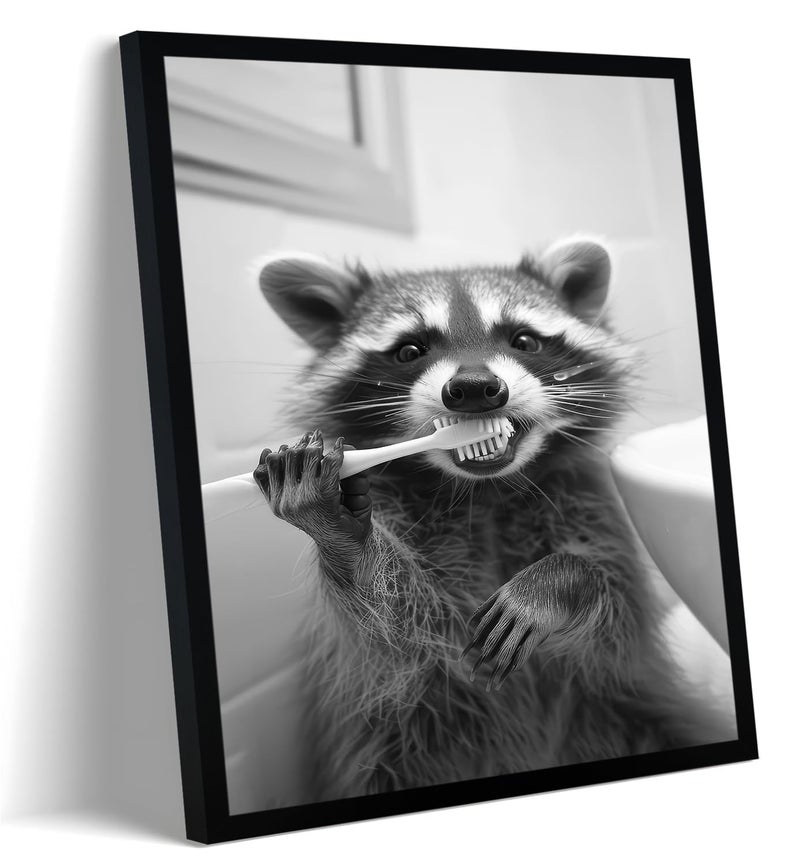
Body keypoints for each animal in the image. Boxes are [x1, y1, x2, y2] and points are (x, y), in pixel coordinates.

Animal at [253, 238, 733, 801]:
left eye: (524, 339)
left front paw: (560, 581)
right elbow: (397, 630)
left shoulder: (592, 509)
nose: (475, 387)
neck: (483, 492)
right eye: (410, 350)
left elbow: (615, 619)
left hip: (632, 718)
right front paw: (344, 538)